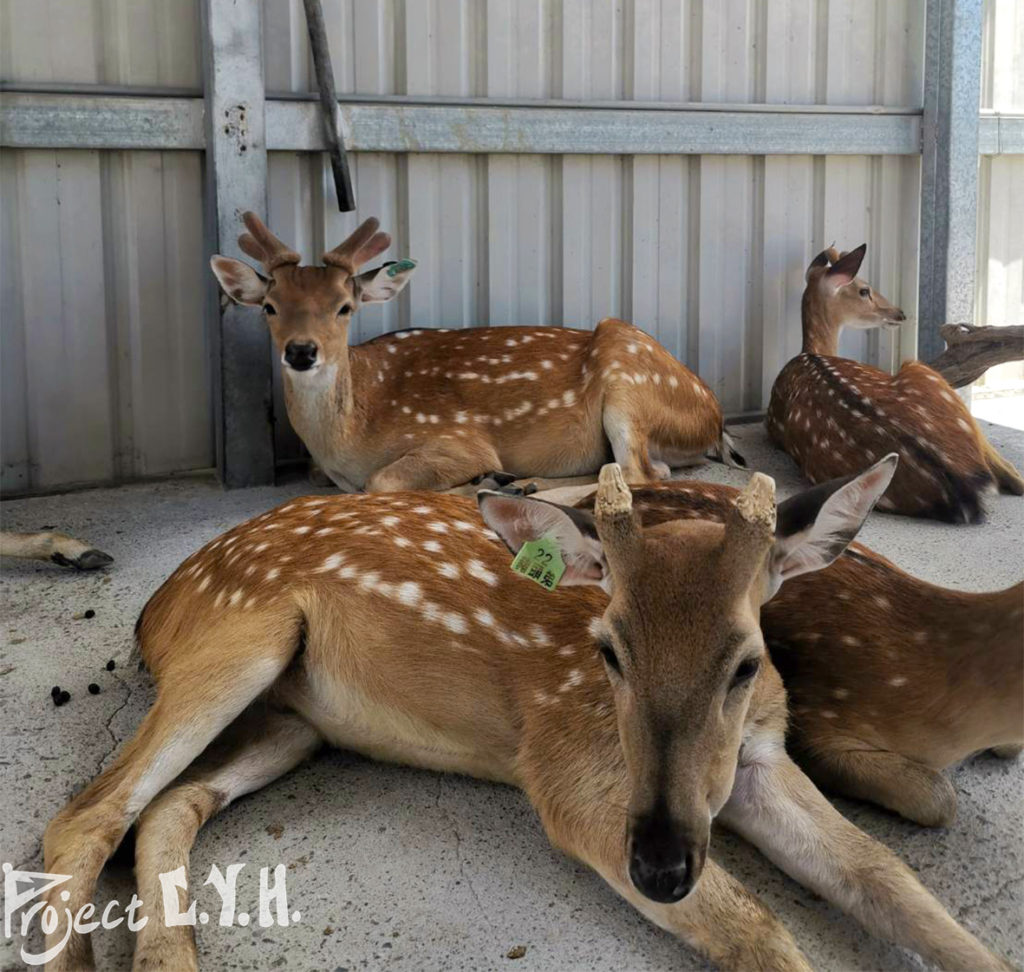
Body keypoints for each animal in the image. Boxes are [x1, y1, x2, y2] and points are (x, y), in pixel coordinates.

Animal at [211, 216, 741, 497]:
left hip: (628, 379)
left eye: (344, 307)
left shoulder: (457, 439)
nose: (302, 352)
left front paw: (474, 482)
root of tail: (716, 424)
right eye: (269, 306)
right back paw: (521, 481)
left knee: (641, 474)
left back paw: (512, 484)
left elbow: (382, 481)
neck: (348, 434)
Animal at [765, 242, 1019, 524]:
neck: (811, 352)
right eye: (864, 289)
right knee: (1010, 472)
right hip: (926, 373)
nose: (900, 313)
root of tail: (959, 489)